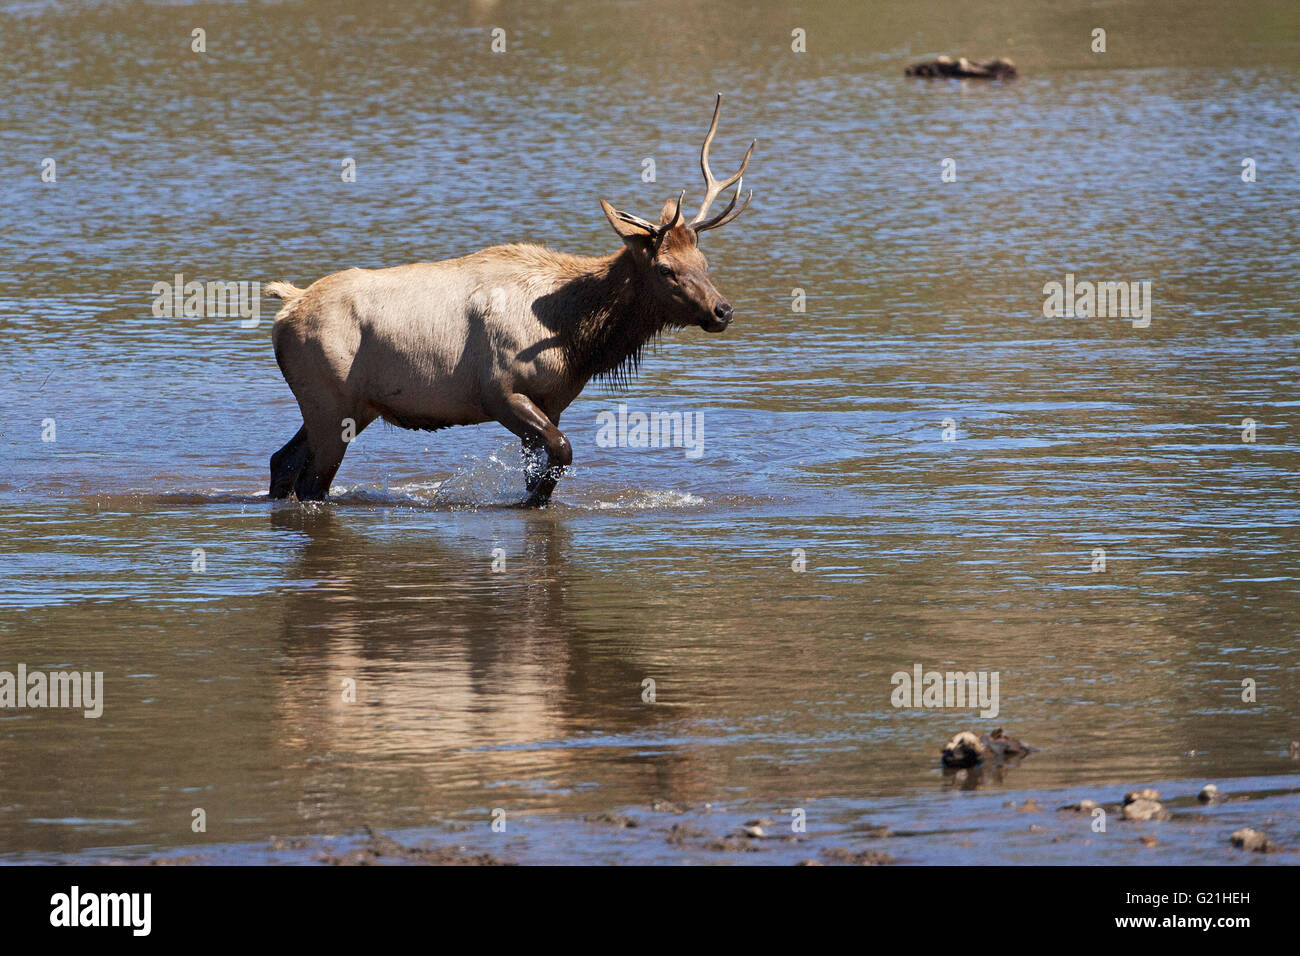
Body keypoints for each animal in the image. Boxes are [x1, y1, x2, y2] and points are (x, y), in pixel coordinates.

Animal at [265, 94, 755, 507]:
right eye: (666, 269)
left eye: (704, 262)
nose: (722, 310)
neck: (575, 338)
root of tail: (288, 304)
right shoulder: (499, 390)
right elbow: (561, 453)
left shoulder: (550, 401)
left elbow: (542, 470)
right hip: (331, 403)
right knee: (311, 483)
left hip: (351, 407)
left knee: (282, 461)